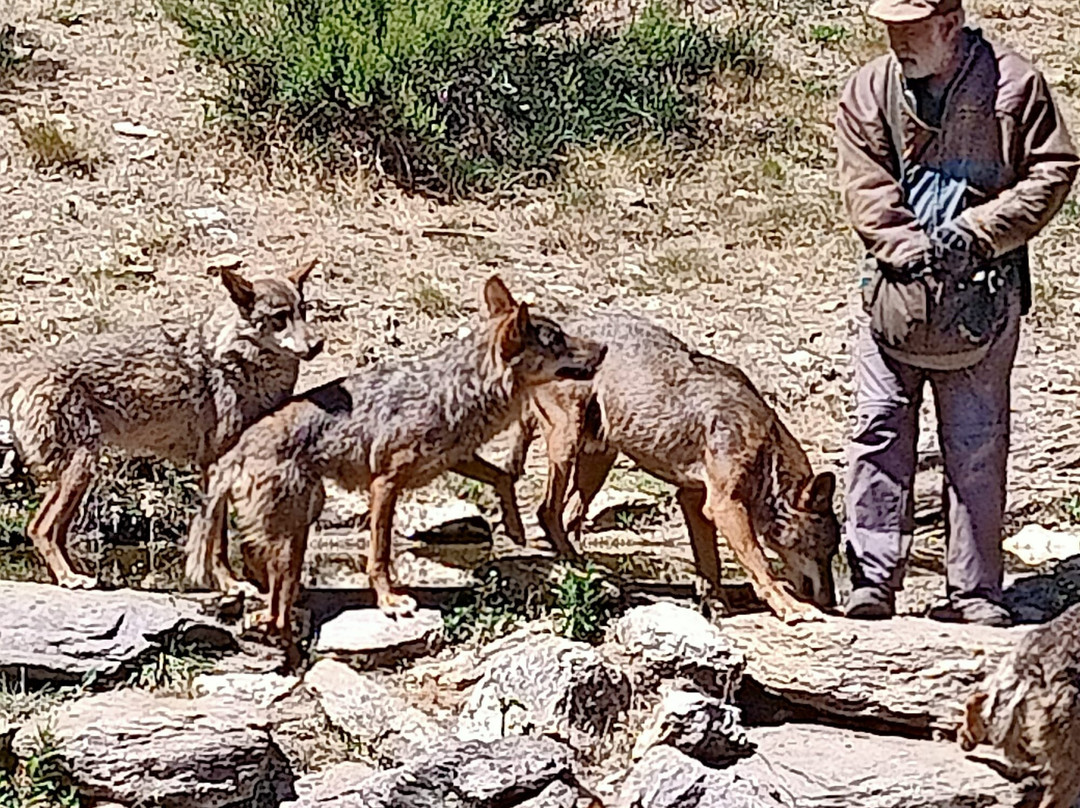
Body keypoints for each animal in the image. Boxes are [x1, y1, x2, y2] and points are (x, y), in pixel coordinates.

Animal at [0, 262, 321, 591]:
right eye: (280, 317)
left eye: (303, 311)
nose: (317, 345)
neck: (241, 363)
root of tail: (24, 368)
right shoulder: (215, 466)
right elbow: (217, 540)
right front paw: (230, 584)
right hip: (80, 469)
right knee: (39, 527)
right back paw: (69, 578)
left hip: (81, 475)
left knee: (53, 530)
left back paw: (75, 575)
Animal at [184, 274, 609, 661]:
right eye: (558, 340)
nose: (604, 347)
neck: (459, 388)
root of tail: (233, 451)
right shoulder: (385, 483)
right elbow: (380, 553)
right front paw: (390, 600)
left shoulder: (455, 457)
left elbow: (503, 476)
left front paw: (515, 527)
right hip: (296, 531)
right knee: (275, 609)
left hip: (299, 520)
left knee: (263, 581)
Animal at [501, 313, 838, 622]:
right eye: (825, 552)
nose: (833, 601)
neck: (767, 453)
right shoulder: (725, 506)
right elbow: (760, 561)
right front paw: (791, 608)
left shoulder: (694, 500)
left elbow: (710, 562)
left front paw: (715, 603)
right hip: (567, 442)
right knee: (548, 511)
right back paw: (574, 565)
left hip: (599, 457)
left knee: (570, 515)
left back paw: (587, 568)